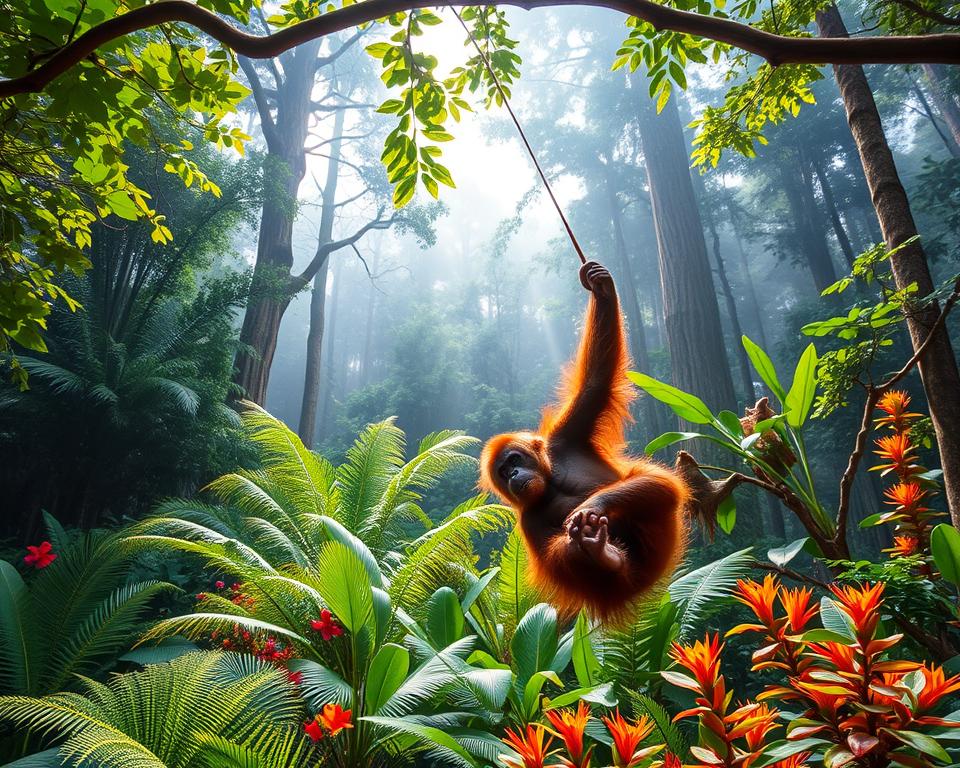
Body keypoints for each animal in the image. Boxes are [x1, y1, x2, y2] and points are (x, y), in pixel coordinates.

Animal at [480, 261, 689, 622]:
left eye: (514, 461)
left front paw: (601, 288)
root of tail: (644, 581)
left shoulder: (568, 435)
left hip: (662, 537)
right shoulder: (528, 522)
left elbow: (596, 381)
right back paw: (603, 553)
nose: (516, 476)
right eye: (504, 473)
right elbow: (555, 562)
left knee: (657, 483)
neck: (549, 480)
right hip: (622, 581)